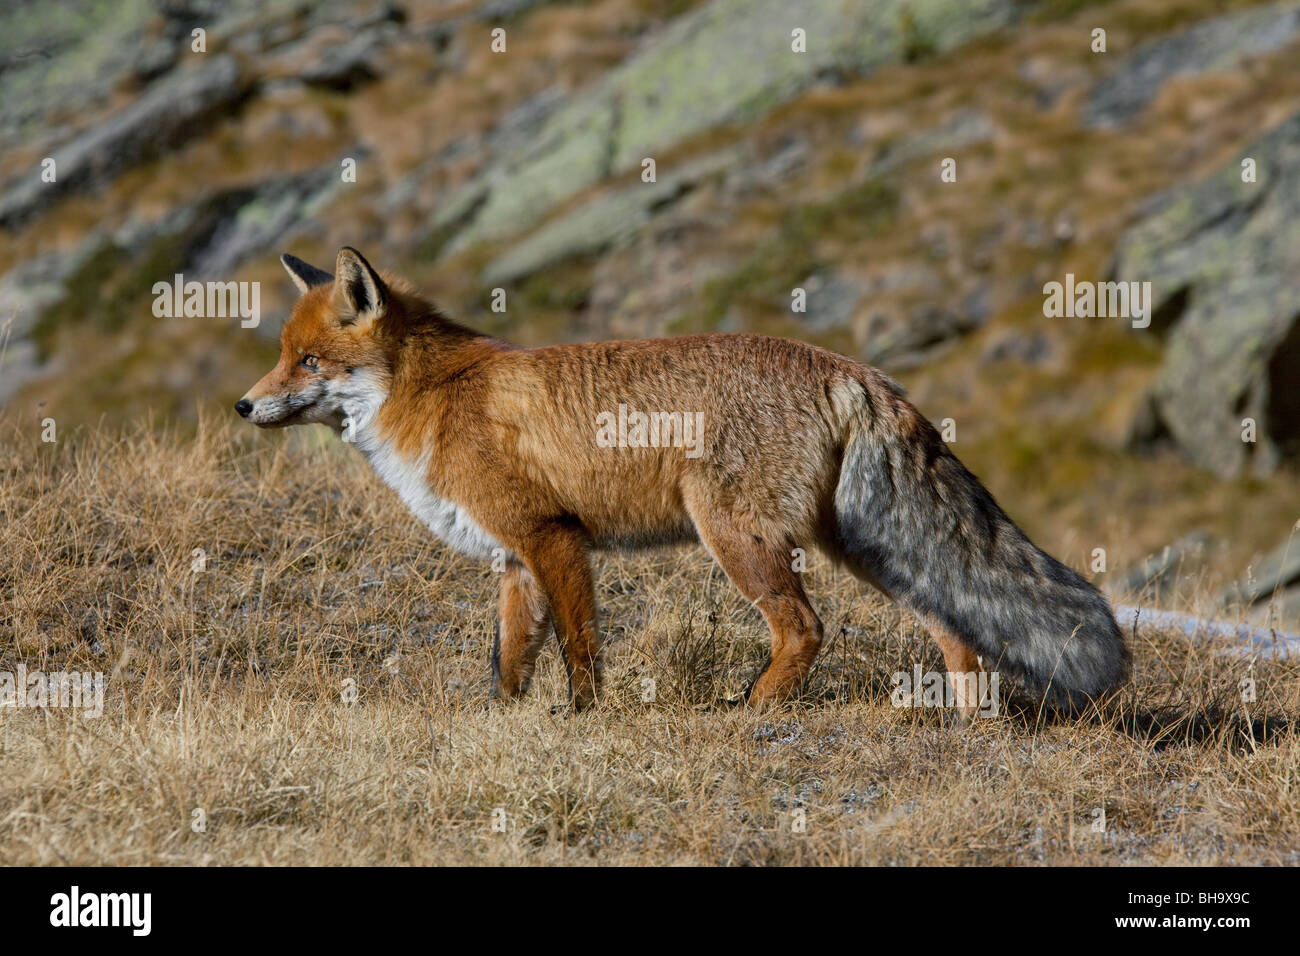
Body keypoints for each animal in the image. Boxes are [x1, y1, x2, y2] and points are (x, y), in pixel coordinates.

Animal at [236, 247, 1130, 718]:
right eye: (280, 355)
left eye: (308, 362)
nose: (243, 404)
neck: (435, 397)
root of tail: (853, 368)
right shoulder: (514, 561)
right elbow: (509, 663)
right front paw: (504, 720)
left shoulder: (553, 539)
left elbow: (581, 651)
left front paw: (582, 721)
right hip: (859, 547)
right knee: (954, 627)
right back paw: (966, 724)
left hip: (736, 537)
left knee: (806, 628)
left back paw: (755, 710)